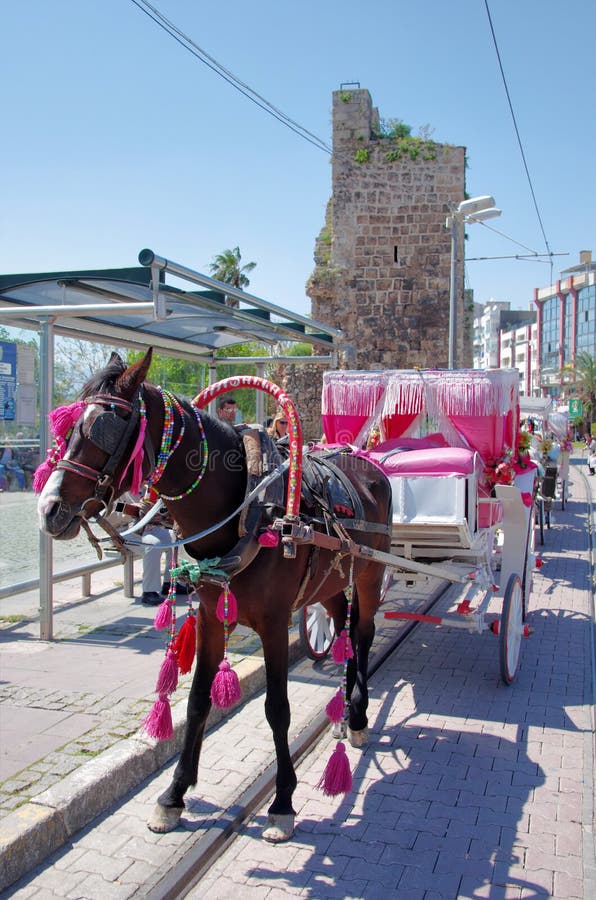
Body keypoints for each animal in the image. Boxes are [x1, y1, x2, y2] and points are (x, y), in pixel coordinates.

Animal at [36, 348, 392, 840]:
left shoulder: (275, 625)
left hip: (371, 573)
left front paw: (282, 801)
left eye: (107, 426)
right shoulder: (209, 616)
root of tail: (367, 462)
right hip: (331, 580)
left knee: (362, 632)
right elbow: (196, 702)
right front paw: (173, 795)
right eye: (67, 426)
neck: (245, 509)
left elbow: (277, 708)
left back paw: (357, 715)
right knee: (342, 624)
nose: (49, 509)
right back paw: (343, 711)